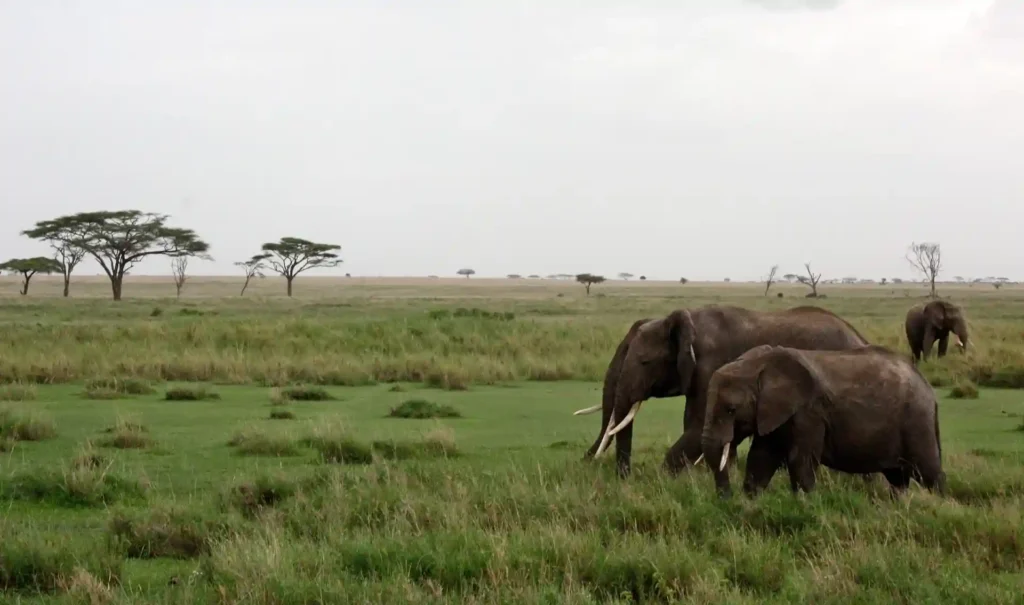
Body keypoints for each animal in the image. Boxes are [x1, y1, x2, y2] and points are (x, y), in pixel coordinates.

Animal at [573, 304, 870, 478]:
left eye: (645, 362)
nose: (624, 478)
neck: (686, 321)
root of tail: (860, 337)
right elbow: (697, 424)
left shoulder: (713, 364)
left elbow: (699, 424)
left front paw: (663, 481)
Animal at [700, 344, 945, 498]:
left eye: (731, 410)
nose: (726, 498)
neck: (759, 364)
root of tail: (930, 391)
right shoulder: (774, 414)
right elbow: (761, 459)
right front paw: (749, 503)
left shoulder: (809, 413)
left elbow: (799, 461)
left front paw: (806, 504)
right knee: (898, 478)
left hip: (916, 421)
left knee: (929, 472)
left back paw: (942, 505)